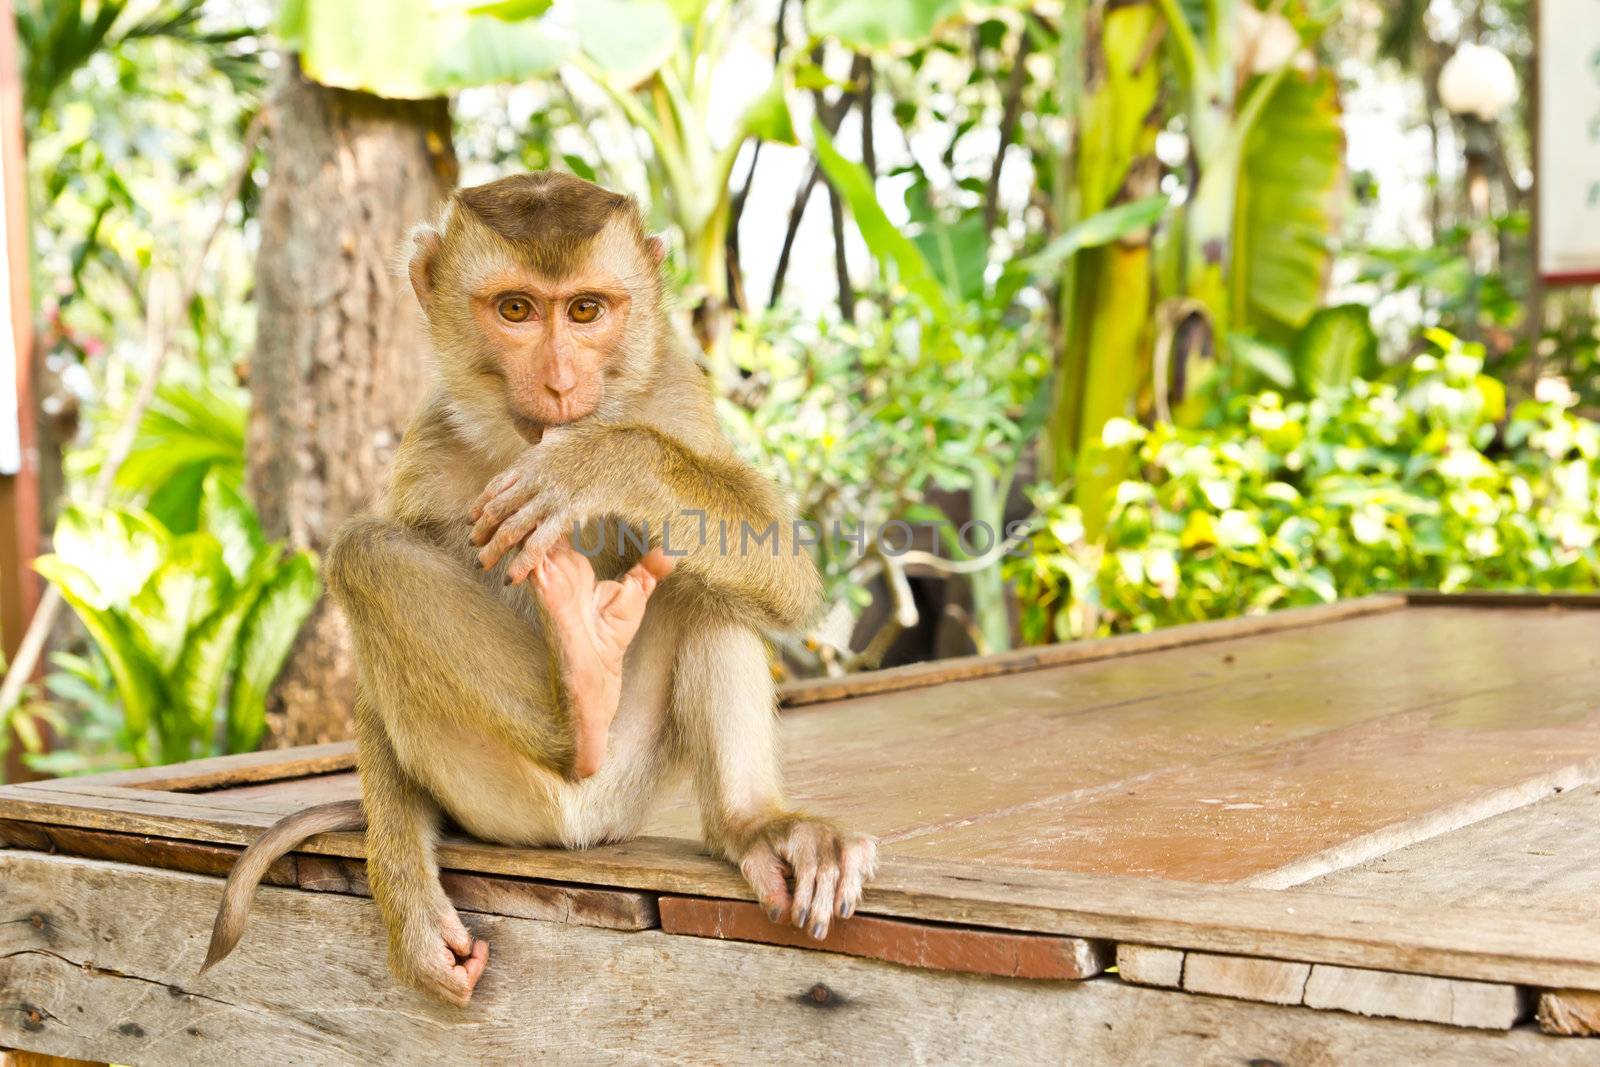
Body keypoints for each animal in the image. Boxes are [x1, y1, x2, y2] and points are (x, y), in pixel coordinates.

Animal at [204, 171, 883, 1004]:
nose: (560, 382)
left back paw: (753, 822)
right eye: (516, 310)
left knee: (707, 580)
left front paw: (593, 463)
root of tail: (579, 826)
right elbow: (370, 676)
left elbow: (780, 563)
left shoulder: (674, 393)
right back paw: (580, 695)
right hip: (494, 798)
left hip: (628, 778)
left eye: (586, 310)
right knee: (366, 553)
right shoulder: (428, 446)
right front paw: (411, 908)